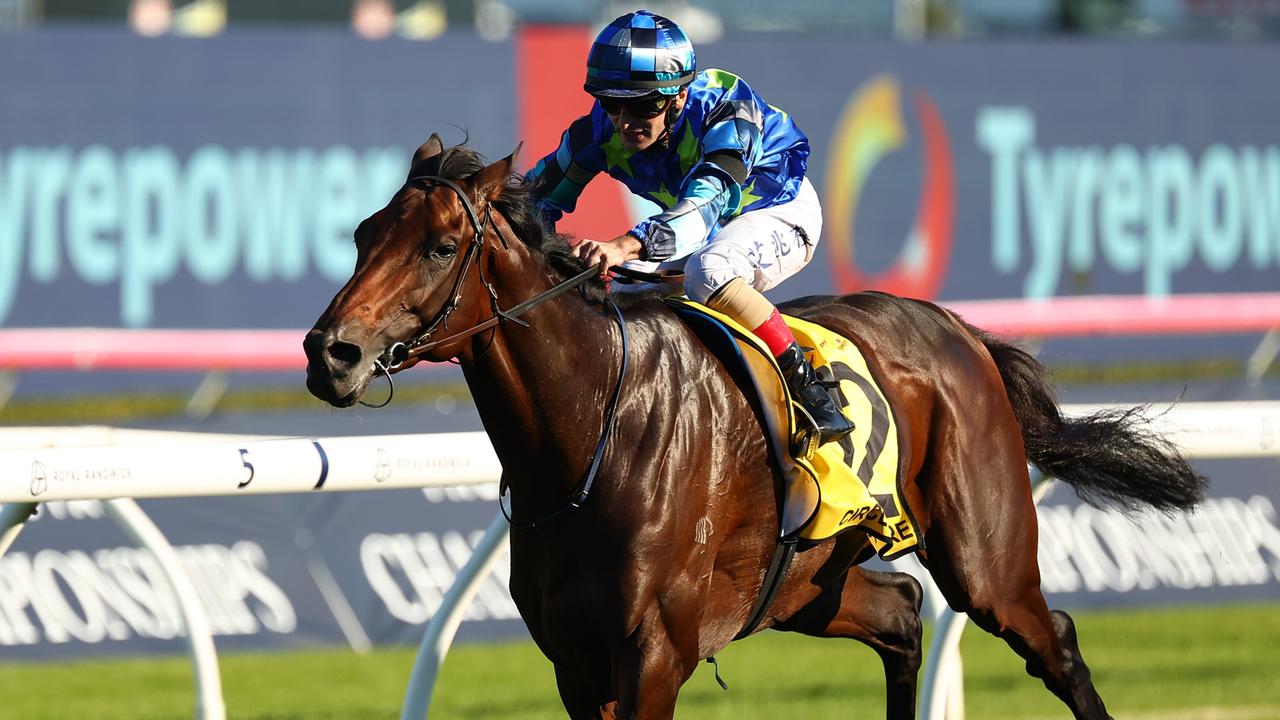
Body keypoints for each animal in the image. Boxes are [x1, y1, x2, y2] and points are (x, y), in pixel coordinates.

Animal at [304, 135, 1203, 717]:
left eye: (439, 245)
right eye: (363, 233)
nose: (329, 353)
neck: (591, 431)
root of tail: (959, 329)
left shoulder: (652, 655)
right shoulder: (574, 661)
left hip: (986, 560)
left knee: (1053, 640)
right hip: (806, 582)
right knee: (904, 613)